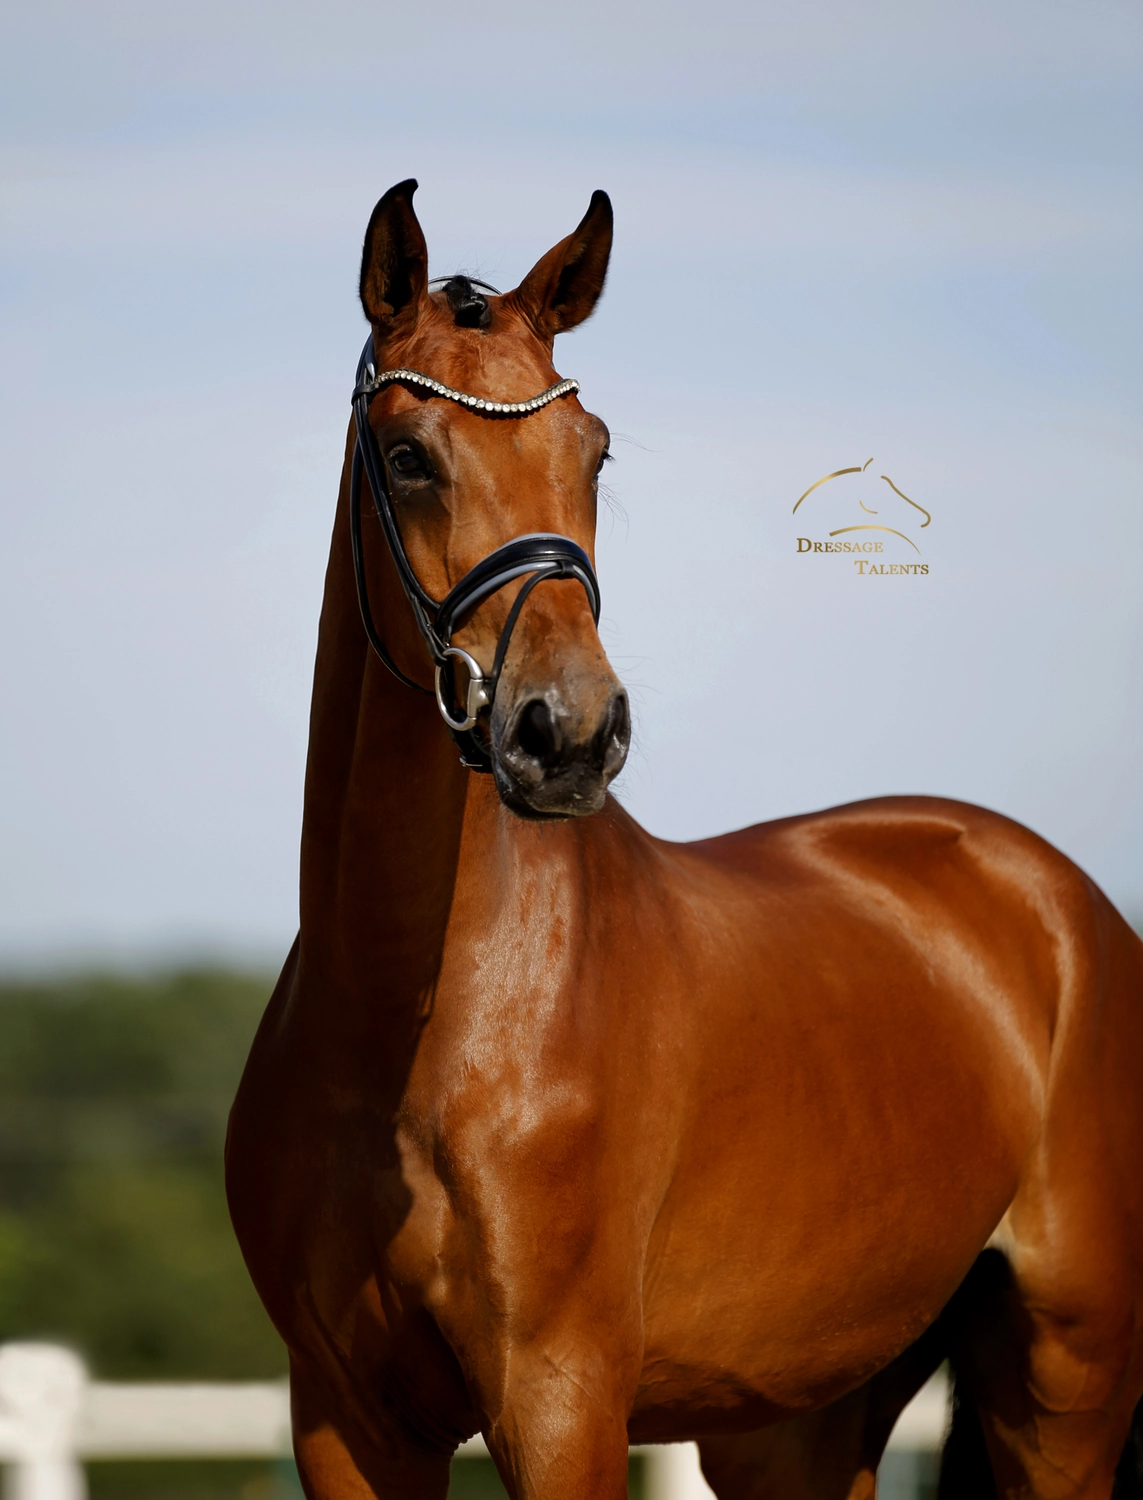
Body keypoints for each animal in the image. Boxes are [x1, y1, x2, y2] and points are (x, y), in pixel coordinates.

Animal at [225, 179, 1143, 1500]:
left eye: (594, 452)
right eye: (407, 458)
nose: (567, 731)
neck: (412, 1028)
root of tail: (1062, 901)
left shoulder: (561, 1402)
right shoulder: (346, 1420)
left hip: (1067, 1379)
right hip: (802, 1420)